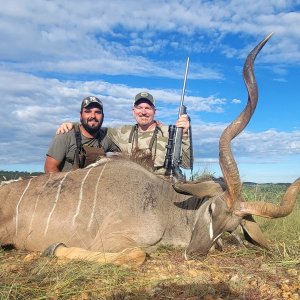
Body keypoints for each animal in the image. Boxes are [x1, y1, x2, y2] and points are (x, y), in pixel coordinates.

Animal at [0, 35, 298, 264]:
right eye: (212, 210)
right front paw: (54, 248)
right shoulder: (110, 240)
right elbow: (137, 254)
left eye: (231, 228)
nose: (194, 253)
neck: (165, 205)